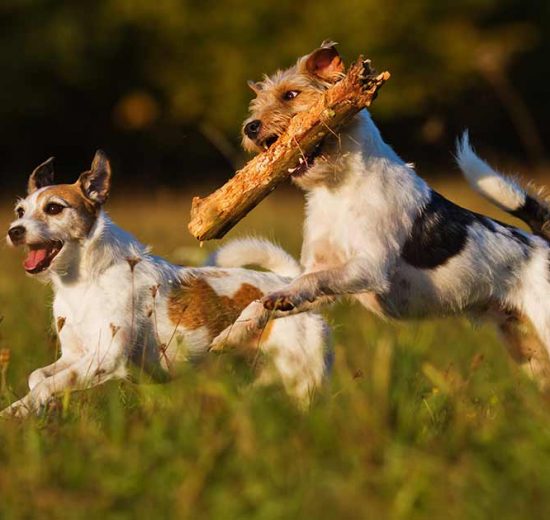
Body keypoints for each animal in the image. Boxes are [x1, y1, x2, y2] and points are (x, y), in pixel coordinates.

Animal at [1, 151, 332, 418]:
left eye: (54, 208)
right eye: (20, 211)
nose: (14, 231)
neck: (83, 281)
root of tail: (287, 281)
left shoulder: (106, 358)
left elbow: (48, 384)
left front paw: (18, 410)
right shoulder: (74, 355)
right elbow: (37, 376)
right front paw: (39, 406)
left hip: (300, 379)